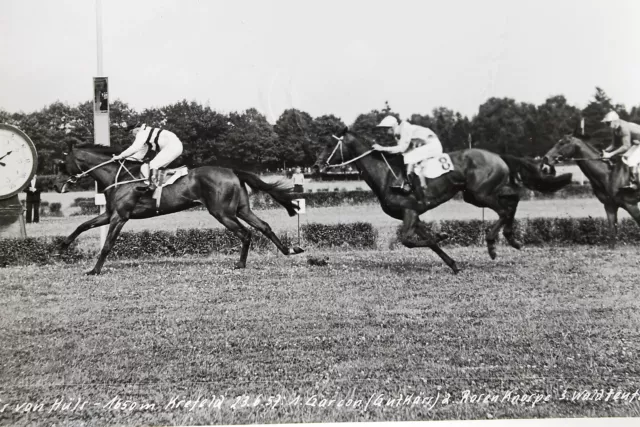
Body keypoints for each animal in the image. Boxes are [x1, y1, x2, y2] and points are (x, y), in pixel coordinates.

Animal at [53, 143, 304, 274]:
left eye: (63, 165)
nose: (55, 186)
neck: (119, 176)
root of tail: (232, 171)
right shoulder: (108, 214)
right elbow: (82, 225)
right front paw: (61, 247)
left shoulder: (120, 217)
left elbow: (107, 245)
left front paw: (95, 270)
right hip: (240, 209)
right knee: (263, 226)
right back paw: (290, 250)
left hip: (222, 212)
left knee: (245, 233)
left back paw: (240, 264)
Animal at [314, 128, 568, 274]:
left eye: (329, 144)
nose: (316, 166)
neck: (386, 175)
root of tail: (498, 155)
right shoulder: (413, 215)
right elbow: (428, 243)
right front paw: (453, 263)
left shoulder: (409, 212)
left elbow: (407, 241)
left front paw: (443, 234)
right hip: (474, 195)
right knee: (513, 199)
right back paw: (512, 238)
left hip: (480, 193)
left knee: (505, 209)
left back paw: (493, 244)